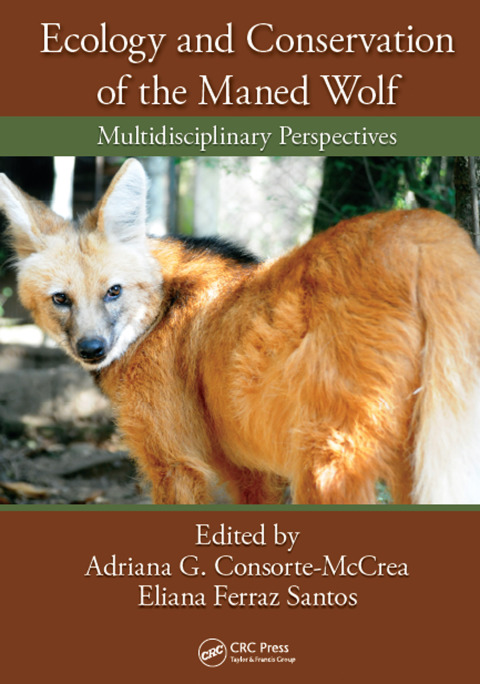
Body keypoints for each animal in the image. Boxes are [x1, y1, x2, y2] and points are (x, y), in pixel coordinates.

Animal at [1, 158, 480, 504]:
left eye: (113, 291)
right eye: (61, 299)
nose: (92, 348)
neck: (159, 310)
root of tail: (423, 231)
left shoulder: (175, 462)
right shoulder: (247, 469)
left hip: (326, 463)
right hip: (415, 452)